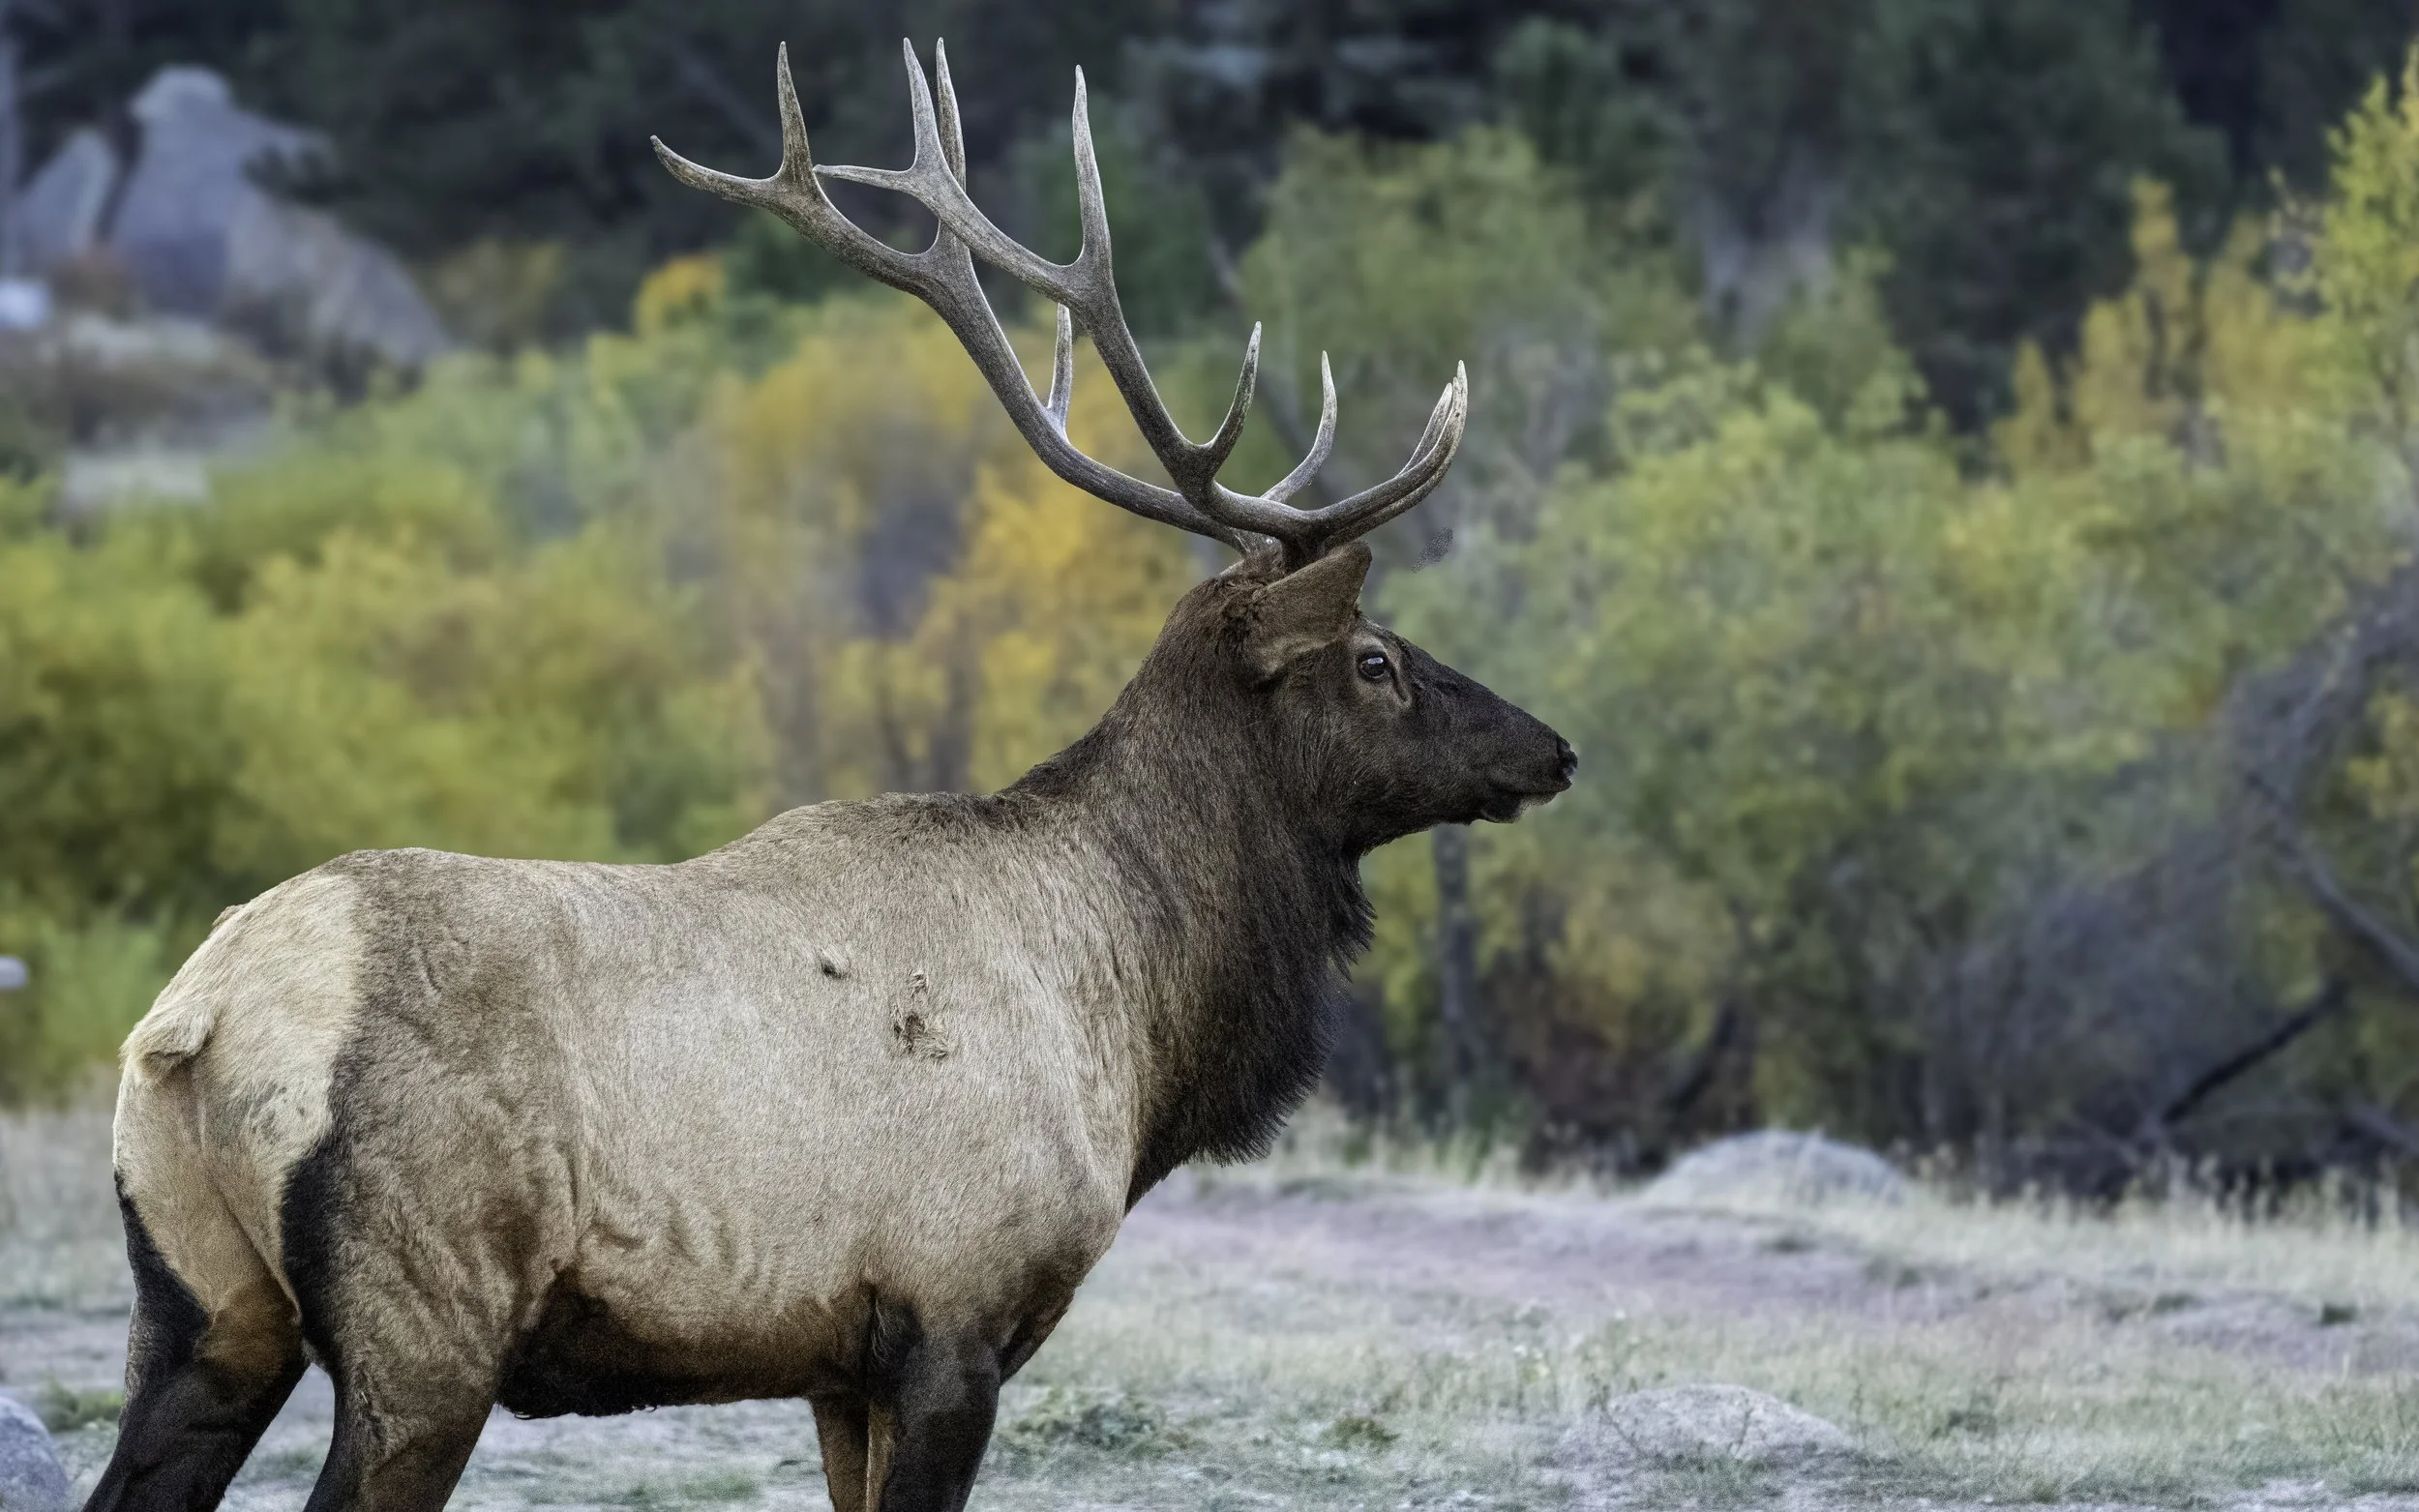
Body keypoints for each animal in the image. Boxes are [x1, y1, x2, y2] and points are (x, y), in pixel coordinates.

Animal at [85, 40, 1575, 1512]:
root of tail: (194, 1020)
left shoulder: (835, 1363)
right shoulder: (953, 1314)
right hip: (427, 1322)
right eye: (1376, 659)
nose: (1552, 748)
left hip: (201, 1309)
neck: (1135, 1016)